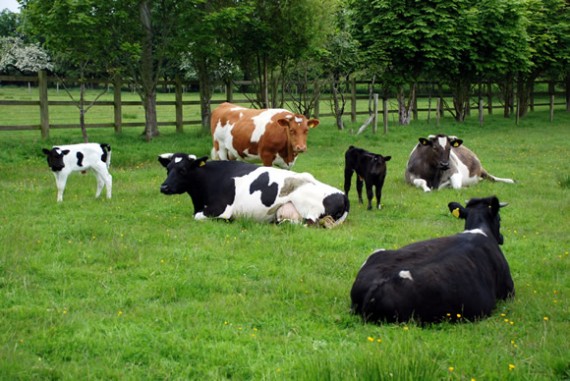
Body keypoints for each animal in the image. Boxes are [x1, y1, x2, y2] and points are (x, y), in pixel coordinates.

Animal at [158, 152, 348, 229]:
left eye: (183, 170)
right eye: (168, 169)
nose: (164, 187)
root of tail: (343, 195)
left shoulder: (220, 209)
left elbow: (198, 217)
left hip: (308, 209)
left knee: (309, 223)